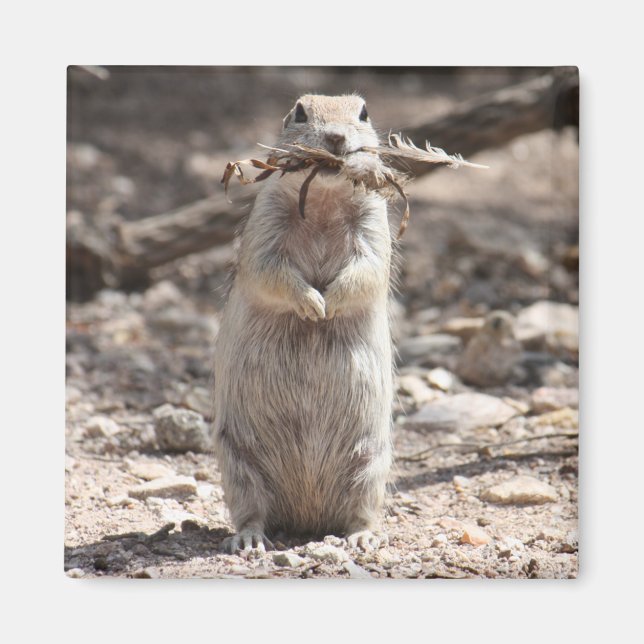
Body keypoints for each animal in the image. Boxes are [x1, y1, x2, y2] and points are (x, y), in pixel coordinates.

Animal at [212, 95, 394, 552]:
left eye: (364, 112)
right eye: (299, 111)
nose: (336, 137)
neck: (325, 200)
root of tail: (307, 517)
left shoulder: (375, 224)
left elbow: (367, 269)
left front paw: (329, 304)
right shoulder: (265, 223)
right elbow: (268, 269)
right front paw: (313, 304)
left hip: (371, 462)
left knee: (361, 510)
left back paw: (363, 537)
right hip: (237, 463)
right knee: (251, 510)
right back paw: (249, 539)